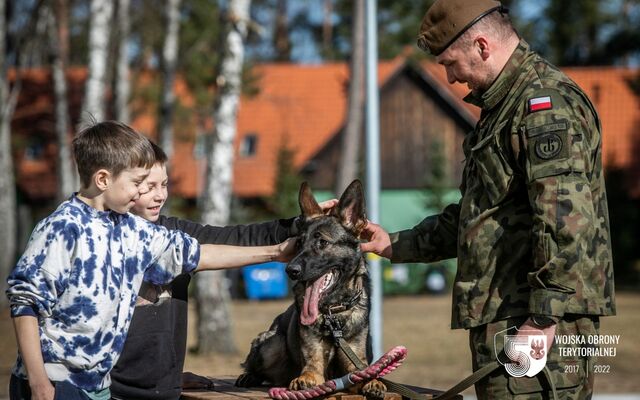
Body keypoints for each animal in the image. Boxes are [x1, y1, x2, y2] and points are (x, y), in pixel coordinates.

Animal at [235, 180, 384, 396]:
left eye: (322, 242)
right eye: (298, 243)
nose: (291, 270)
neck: (333, 315)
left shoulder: (353, 365)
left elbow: (364, 372)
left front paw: (374, 381)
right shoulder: (314, 367)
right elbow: (311, 371)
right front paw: (304, 380)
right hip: (271, 343)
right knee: (254, 365)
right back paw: (249, 376)